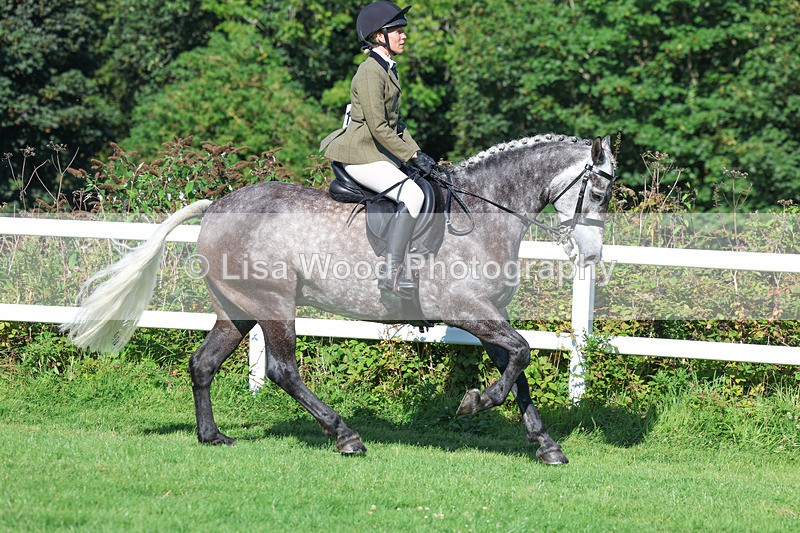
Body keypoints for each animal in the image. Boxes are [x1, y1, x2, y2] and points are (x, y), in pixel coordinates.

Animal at [62, 133, 616, 465]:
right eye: (600, 193)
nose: (591, 255)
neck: (482, 213)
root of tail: (217, 206)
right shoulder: (471, 312)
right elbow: (520, 355)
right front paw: (474, 402)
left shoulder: (489, 314)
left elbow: (517, 368)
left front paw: (545, 445)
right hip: (274, 305)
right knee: (282, 370)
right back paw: (346, 436)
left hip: (236, 311)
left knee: (203, 364)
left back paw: (212, 436)